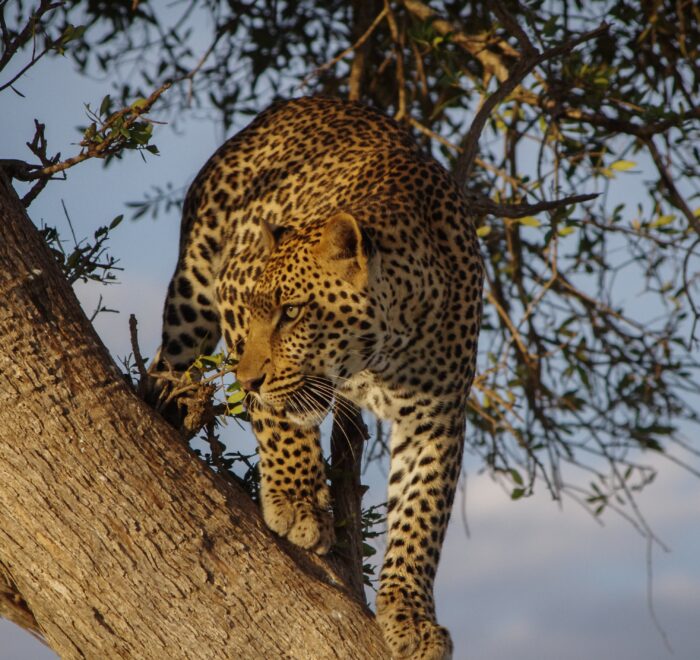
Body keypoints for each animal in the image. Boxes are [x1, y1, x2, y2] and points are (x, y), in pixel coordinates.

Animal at [153, 94, 482, 660]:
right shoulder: (233, 288)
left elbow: (421, 516)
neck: (382, 351)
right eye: (260, 310)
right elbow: (279, 420)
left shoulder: (436, 418)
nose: (247, 379)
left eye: (292, 313)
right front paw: (297, 501)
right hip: (193, 293)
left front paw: (411, 617)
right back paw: (166, 402)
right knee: (164, 361)